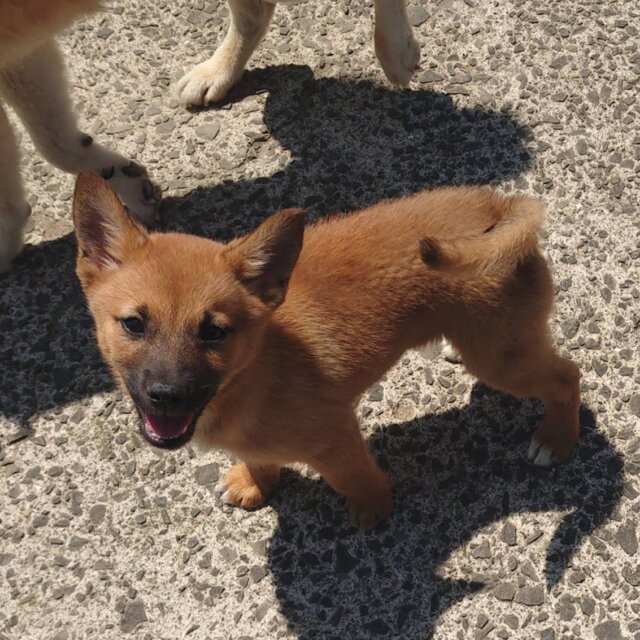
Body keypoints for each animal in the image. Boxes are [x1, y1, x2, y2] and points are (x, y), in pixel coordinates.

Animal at [73, 173, 580, 528]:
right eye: (133, 324)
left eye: (214, 332)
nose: (165, 396)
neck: (256, 371)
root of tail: (499, 205)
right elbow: (259, 458)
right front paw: (256, 482)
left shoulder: (336, 434)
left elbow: (352, 476)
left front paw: (372, 509)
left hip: (503, 360)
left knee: (566, 375)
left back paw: (556, 439)